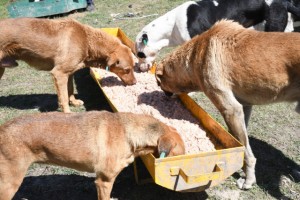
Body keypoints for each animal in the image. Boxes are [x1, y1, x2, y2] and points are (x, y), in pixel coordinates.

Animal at [0, 17, 137, 112]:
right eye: (127, 69)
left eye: (133, 67)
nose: (135, 83)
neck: (87, 41)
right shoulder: (59, 73)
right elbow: (64, 97)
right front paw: (67, 113)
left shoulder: (69, 73)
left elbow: (70, 90)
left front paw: (74, 102)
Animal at [155, 19, 300, 190]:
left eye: (159, 83)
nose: (163, 95)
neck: (196, 54)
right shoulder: (244, 107)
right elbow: (241, 143)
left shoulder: (231, 110)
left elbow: (246, 151)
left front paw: (248, 180)